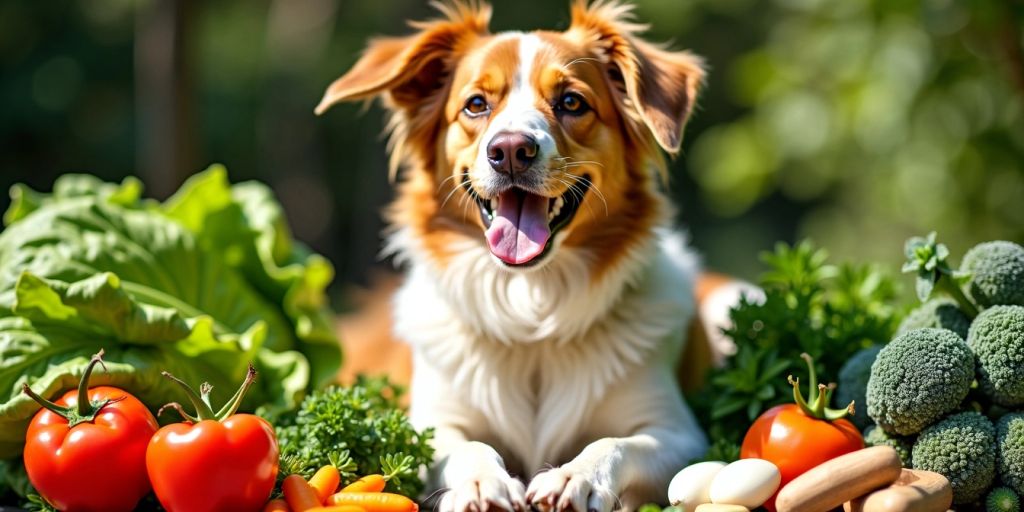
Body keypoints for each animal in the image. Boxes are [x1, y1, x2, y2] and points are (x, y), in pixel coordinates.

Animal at [313, 1, 753, 512]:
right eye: (476, 104)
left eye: (572, 102)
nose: (510, 150)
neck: (531, 307)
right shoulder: (430, 422)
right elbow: (466, 446)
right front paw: (480, 482)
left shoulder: (678, 431)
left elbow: (614, 443)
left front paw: (576, 477)